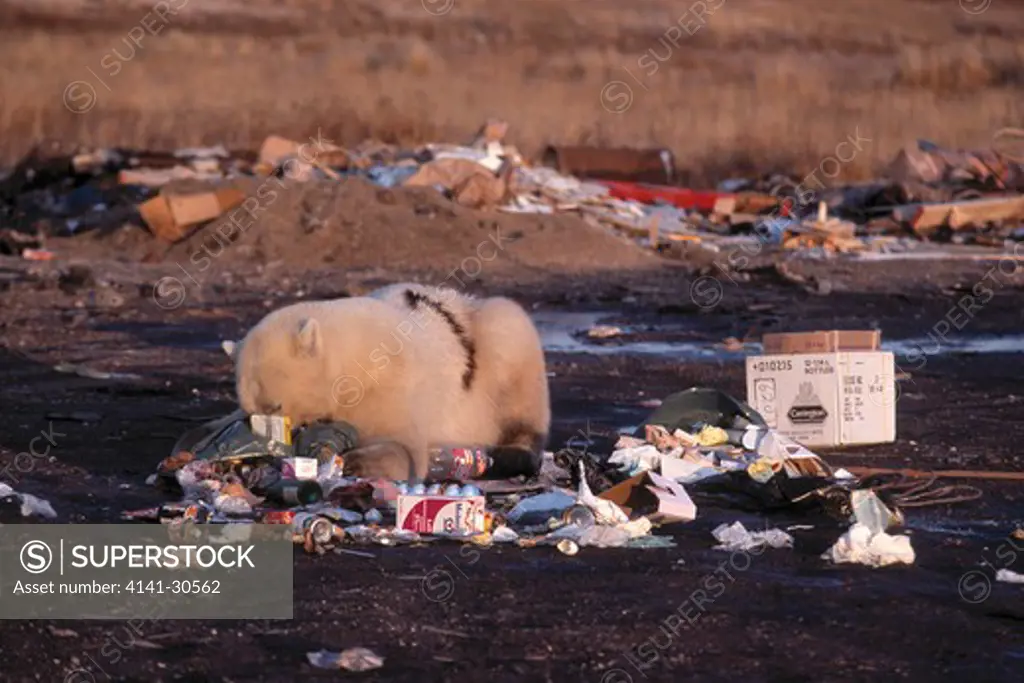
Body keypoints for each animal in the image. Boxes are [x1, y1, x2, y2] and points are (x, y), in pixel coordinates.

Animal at [220, 282, 548, 481]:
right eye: (248, 411)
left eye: (275, 405)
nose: (267, 447)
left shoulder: (388, 382)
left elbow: (403, 445)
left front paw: (356, 461)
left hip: (492, 352)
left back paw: (514, 450)